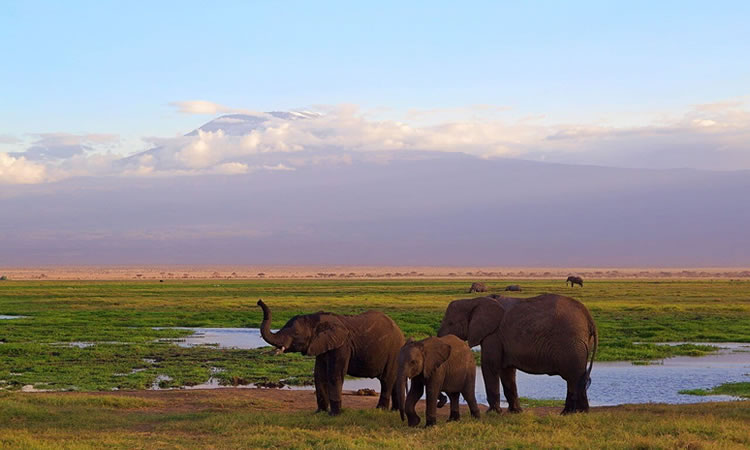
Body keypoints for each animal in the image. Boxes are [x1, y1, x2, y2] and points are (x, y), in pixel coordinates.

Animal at [260, 298, 412, 414]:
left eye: (296, 334)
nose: (259, 301)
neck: (316, 319)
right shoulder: (322, 346)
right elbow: (319, 375)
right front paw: (319, 413)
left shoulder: (342, 346)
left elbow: (334, 375)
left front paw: (335, 414)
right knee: (394, 381)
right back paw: (395, 411)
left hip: (393, 351)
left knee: (386, 380)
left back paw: (380, 410)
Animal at [434, 296, 600, 414]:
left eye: (450, 323)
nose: (440, 403)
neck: (474, 301)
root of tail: (589, 318)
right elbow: (507, 372)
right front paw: (515, 412)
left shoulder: (493, 335)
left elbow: (490, 366)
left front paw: (493, 413)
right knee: (577, 377)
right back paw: (577, 412)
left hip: (571, 343)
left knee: (573, 376)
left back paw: (572, 413)